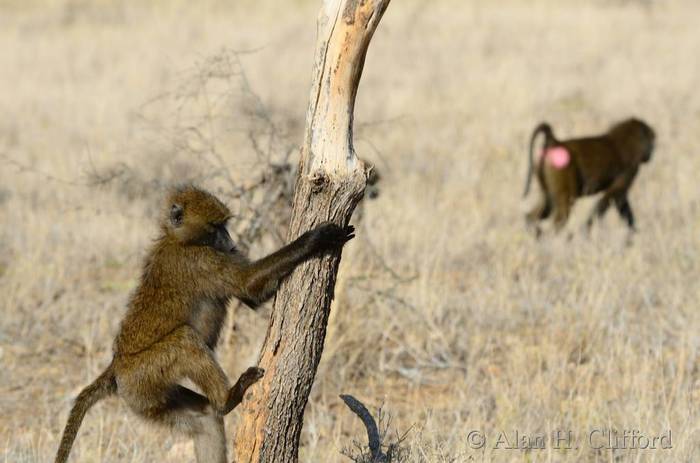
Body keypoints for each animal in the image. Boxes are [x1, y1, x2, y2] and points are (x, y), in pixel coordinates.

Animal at [55, 185, 355, 463]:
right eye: (215, 227)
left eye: (225, 225)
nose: (230, 241)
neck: (179, 240)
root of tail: (116, 366)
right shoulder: (201, 261)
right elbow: (249, 284)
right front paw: (318, 237)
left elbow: (253, 296)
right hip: (143, 376)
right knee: (185, 340)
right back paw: (227, 398)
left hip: (144, 397)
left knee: (206, 419)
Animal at [523, 118, 655, 236]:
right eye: (652, 142)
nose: (650, 154)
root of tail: (555, 142)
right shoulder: (630, 170)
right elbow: (611, 197)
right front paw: (586, 230)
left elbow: (621, 202)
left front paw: (633, 232)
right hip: (562, 170)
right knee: (562, 212)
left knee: (543, 206)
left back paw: (536, 233)